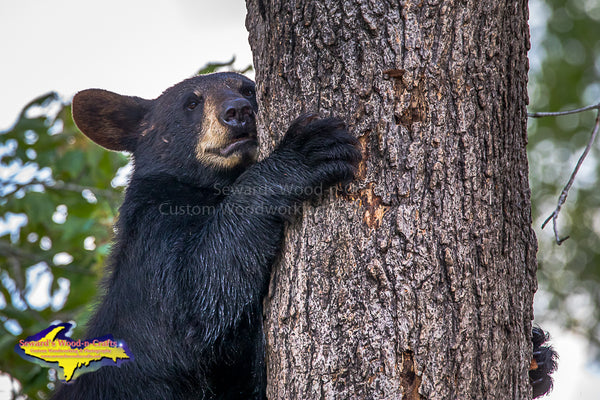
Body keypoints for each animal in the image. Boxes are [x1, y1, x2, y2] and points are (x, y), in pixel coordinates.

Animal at [54, 72, 556, 400]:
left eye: (248, 88)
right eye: (191, 103)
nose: (239, 112)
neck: (211, 190)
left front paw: (536, 355)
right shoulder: (154, 244)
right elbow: (203, 298)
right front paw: (306, 151)